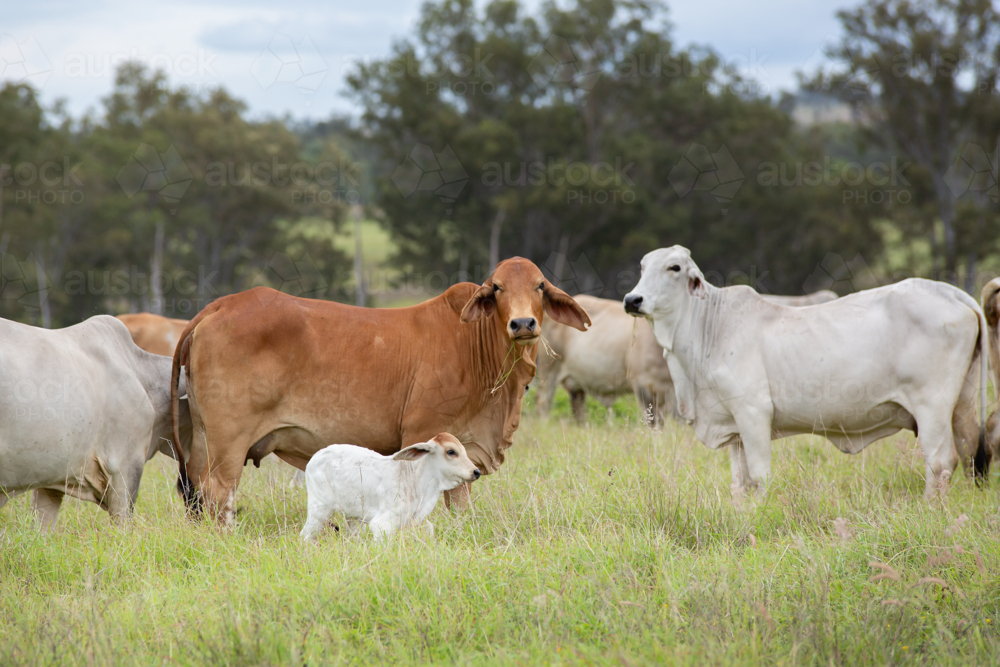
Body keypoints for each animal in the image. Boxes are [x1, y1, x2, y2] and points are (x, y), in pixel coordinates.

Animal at [171, 257, 591, 524]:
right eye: (498, 287)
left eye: (539, 285)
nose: (523, 324)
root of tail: (221, 305)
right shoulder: (423, 433)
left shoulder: (466, 448)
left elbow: (460, 504)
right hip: (228, 444)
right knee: (218, 495)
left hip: (203, 441)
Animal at [536, 291, 838, 424]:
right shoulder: (642, 384)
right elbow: (653, 422)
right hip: (548, 370)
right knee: (544, 401)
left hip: (574, 386)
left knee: (577, 403)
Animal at [623, 246, 987, 499]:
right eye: (641, 266)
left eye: (674, 267)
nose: (632, 299)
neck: (709, 328)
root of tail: (949, 291)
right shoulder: (733, 428)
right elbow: (740, 483)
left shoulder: (753, 412)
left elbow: (758, 477)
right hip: (962, 404)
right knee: (970, 454)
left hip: (932, 406)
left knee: (941, 461)